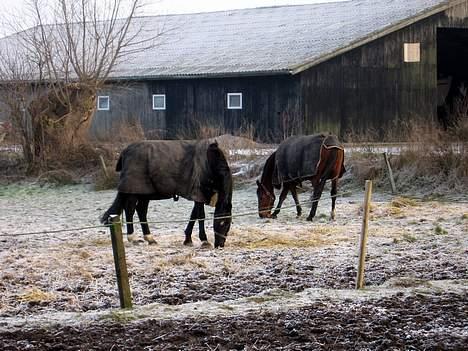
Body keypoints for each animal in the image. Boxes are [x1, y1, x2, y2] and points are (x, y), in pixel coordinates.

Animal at [102, 139, 234, 249]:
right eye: (222, 223)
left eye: (228, 224)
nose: (220, 245)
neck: (209, 160)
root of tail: (125, 151)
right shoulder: (198, 194)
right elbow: (200, 216)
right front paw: (204, 241)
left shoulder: (197, 195)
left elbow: (193, 216)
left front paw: (188, 240)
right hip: (134, 190)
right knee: (130, 210)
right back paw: (133, 238)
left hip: (145, 193)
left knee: (141, 211)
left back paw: (150, 238)